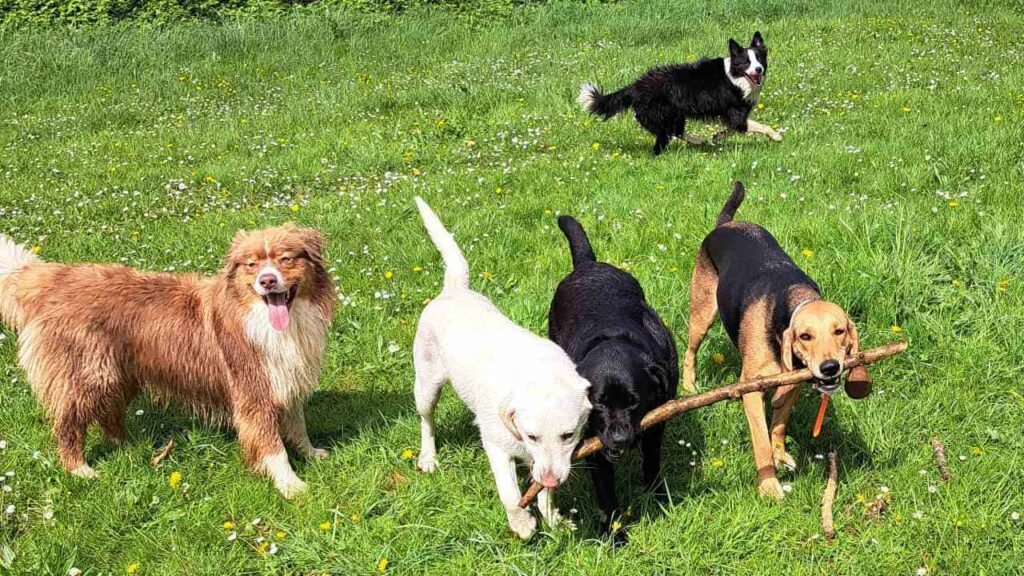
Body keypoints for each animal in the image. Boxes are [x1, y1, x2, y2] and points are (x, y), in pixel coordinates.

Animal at [0, 226, 333, 496]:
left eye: (286, 259)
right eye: (251, 265)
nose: (267, 281)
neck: (266, 320)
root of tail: (53, 279)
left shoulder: (286, 380)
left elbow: (297, 426)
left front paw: (311, 453)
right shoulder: (254, 393)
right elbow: (273, 447)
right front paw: (291, 485)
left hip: (119, 372)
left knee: (109, 413)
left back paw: (125, 445)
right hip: (88, 375)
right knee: (68, 423)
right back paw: (79, 469)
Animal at [411, 196, 593, 537]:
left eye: (568, 435)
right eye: (532, 436)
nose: (552, 478)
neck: (539, 373)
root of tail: (454, 289)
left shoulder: (543, 462)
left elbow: (543, 493)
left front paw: (553, 518)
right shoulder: (497, 446)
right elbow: (509, 493)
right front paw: (522, 523)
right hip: (426, 385)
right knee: (427, 421)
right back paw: (428, 457)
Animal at [548, 215, 675, 537]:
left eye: (634, 402)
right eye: (600, 404)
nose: (618, 439)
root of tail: (588, 264)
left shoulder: (655, 425)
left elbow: (651, 463)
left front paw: (657, 498)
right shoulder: (593, 446)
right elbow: (606, 494)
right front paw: (614, 535)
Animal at [581, 31, 778, 154]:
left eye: (759, 59)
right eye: (746, 62)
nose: (759, 70)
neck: (735, 76)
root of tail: (636, 85)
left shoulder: (730, 115)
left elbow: (731, 129)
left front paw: (717, 136)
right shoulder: (735, 112)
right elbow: (755, 125)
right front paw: (776, 135)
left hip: (675, 113)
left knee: (674, 131)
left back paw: (697, 141)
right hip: (666, 112)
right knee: (667, 133)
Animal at [684, 181, 868, 496]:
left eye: (840, 331)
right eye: (805, 336)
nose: (830, 367)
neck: (792, 302)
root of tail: (726, 224)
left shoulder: (792, 382)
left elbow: (780, 424)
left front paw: (780, 454)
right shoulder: (752, 389)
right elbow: (760, 442)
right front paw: (769, 485)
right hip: (702, 314)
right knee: (690, 350)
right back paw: (688, 385)